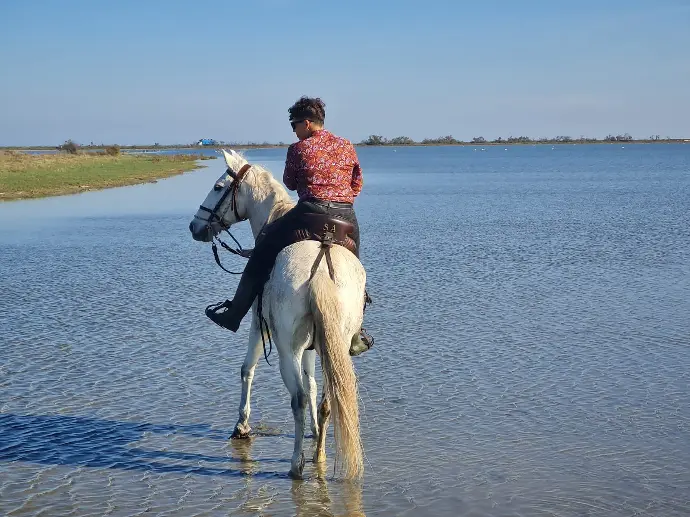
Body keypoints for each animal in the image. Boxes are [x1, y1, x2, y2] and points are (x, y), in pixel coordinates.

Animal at [185, 149, 362, 480]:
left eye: (218, 187)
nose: (194, 227)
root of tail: (321, 264)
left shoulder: (258, 323)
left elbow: (247, 369)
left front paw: (241, 426)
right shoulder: (314, 344)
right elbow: (313, 382)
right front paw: (316, 432)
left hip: (286, 349)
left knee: (298, 399)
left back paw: (296, 464)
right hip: (336, 341)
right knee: (327, 398)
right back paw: (318, 455)